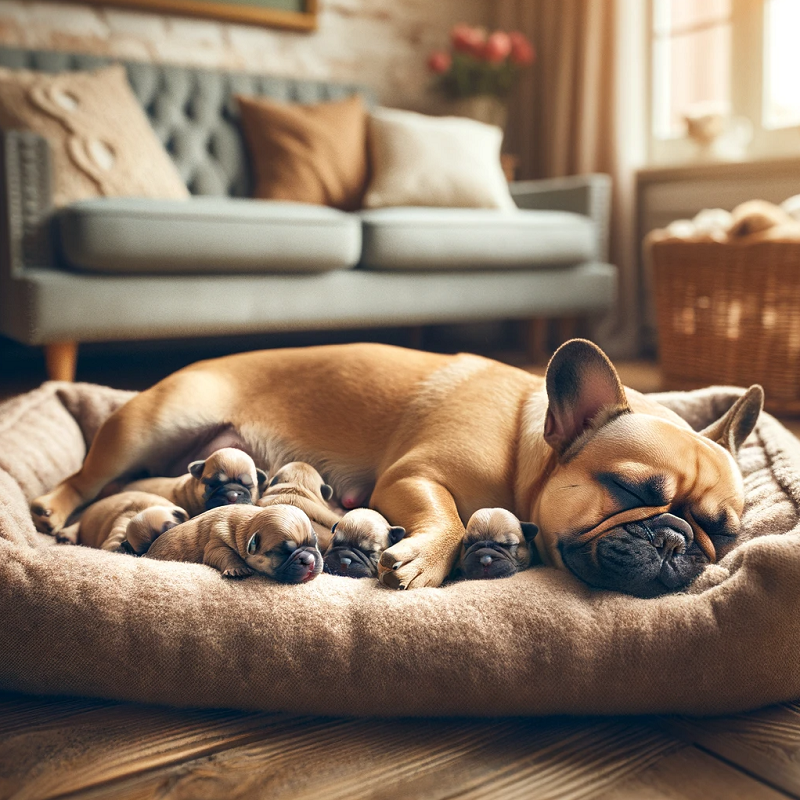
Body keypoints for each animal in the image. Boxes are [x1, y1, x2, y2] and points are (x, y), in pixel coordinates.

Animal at [144, 504, 322, 584]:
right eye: (283, 552)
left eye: (315, 544)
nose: (310, 560)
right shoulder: (216, 544)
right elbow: (228, 554)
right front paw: (238, 570)